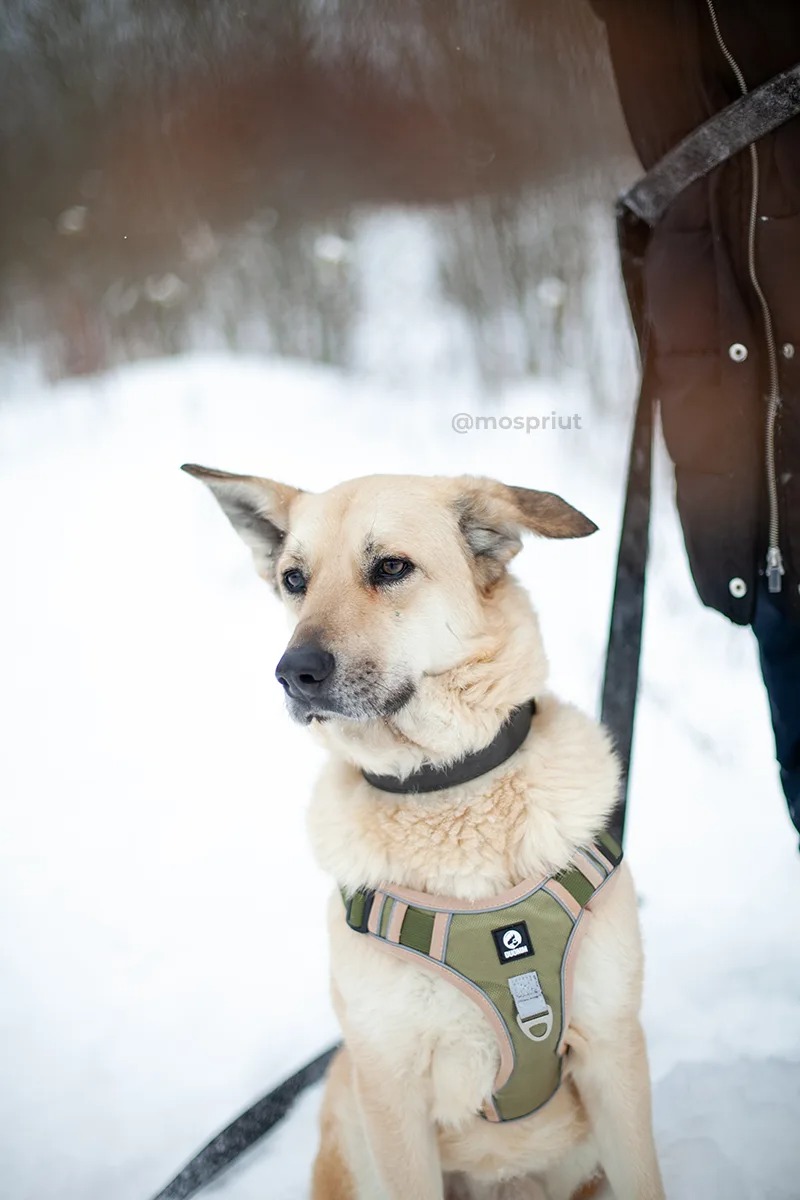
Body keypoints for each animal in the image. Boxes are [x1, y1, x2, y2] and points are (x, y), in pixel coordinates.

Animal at [185, 460, 662, 1200]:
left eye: (390, 567)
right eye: (295, 579)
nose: (293, 673)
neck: (444, 787)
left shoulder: (613, 1050)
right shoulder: (391, 1085)